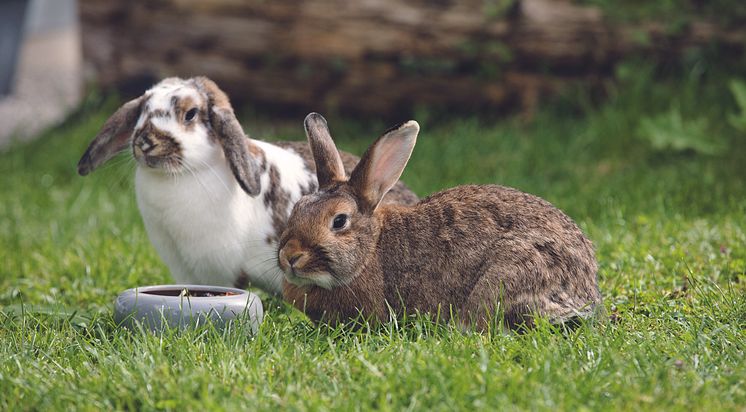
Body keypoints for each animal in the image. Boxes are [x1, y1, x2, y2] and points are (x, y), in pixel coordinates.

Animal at [276, 113, 600, 332]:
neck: (370, 251)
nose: (291, 256)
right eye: (298, 208)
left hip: (508, 274)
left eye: (339, 221)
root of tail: (583, 291)